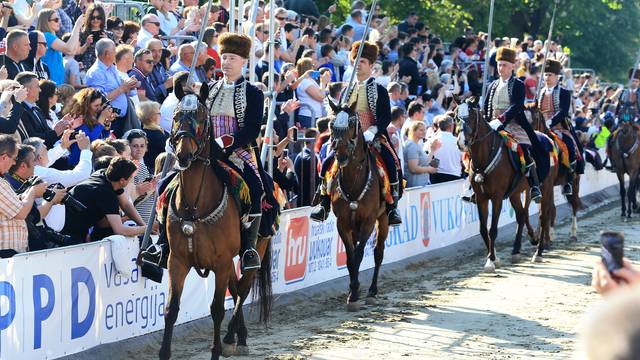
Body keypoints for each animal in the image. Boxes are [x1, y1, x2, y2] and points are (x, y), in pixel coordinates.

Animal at [160, 88, 272, 360]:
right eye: (176, 116)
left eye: (202, 118)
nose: (183, 155)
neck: (194, 205)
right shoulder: (177, 261)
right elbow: (171, 309)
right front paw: (164, 352)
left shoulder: (220, 262)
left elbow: (217, 309)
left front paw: (216, 351)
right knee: (236, 286)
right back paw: (239, 336)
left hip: (256, 249)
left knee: (242, 289)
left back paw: (231, 337)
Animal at [328, 100, 388, 310]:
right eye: (331, 125)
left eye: (352, 124)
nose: (341, 154)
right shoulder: (343, 223)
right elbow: (350, 256)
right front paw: (352, 291)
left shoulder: (368, 221)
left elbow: (360, 254)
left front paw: (355, 292)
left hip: (384, 218)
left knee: (378, 253)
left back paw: (372, 291)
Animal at [456, 97, 556, 270]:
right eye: (456, 116)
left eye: (471, 116)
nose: (462, 142)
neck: (484, 156)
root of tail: (547, 138)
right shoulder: (481, 198)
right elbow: (483, 229)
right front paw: (493, 257)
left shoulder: (496, 198)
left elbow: (493, 229)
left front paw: (491, 260)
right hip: (515, 193)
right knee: (521, 215)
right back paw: (516, 251)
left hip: (546, 188)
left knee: (543, 217)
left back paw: (538, 253)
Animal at [524, 105, 584, 245]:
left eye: (535, 119)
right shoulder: (535, 187)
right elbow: (541, 209)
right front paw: (541, 236)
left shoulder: (548, 184)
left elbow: (547, 209)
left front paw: (545, 238)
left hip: (574, 182)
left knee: (574, 204)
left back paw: (573, 233)